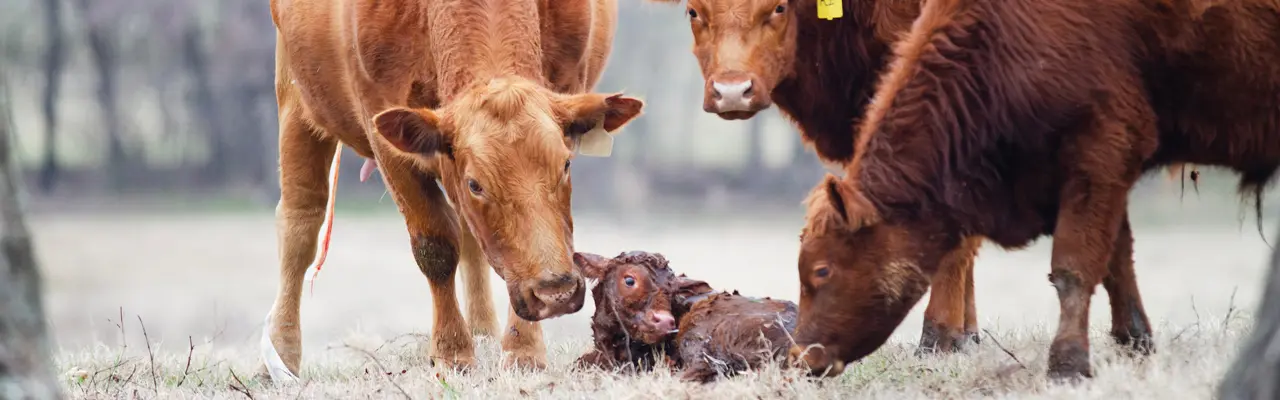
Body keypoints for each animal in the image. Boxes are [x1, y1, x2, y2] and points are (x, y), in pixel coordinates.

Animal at [261, 0, 644, 381]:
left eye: (565, 165)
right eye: (476, 183)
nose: (556, 293)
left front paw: (523, 350)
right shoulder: (385, 137)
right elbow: (436, 247)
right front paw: (453, 351)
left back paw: (484, 333)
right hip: (295, 97)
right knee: (301, 223)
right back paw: (281, 353)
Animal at [786, 0, 1280, 381]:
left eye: (822, 270)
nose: (802, 358)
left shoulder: (1101, 149)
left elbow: (1073, 269)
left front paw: (1067, 366)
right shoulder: (1102, 172)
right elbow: (1117, 261)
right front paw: (1134, 342)